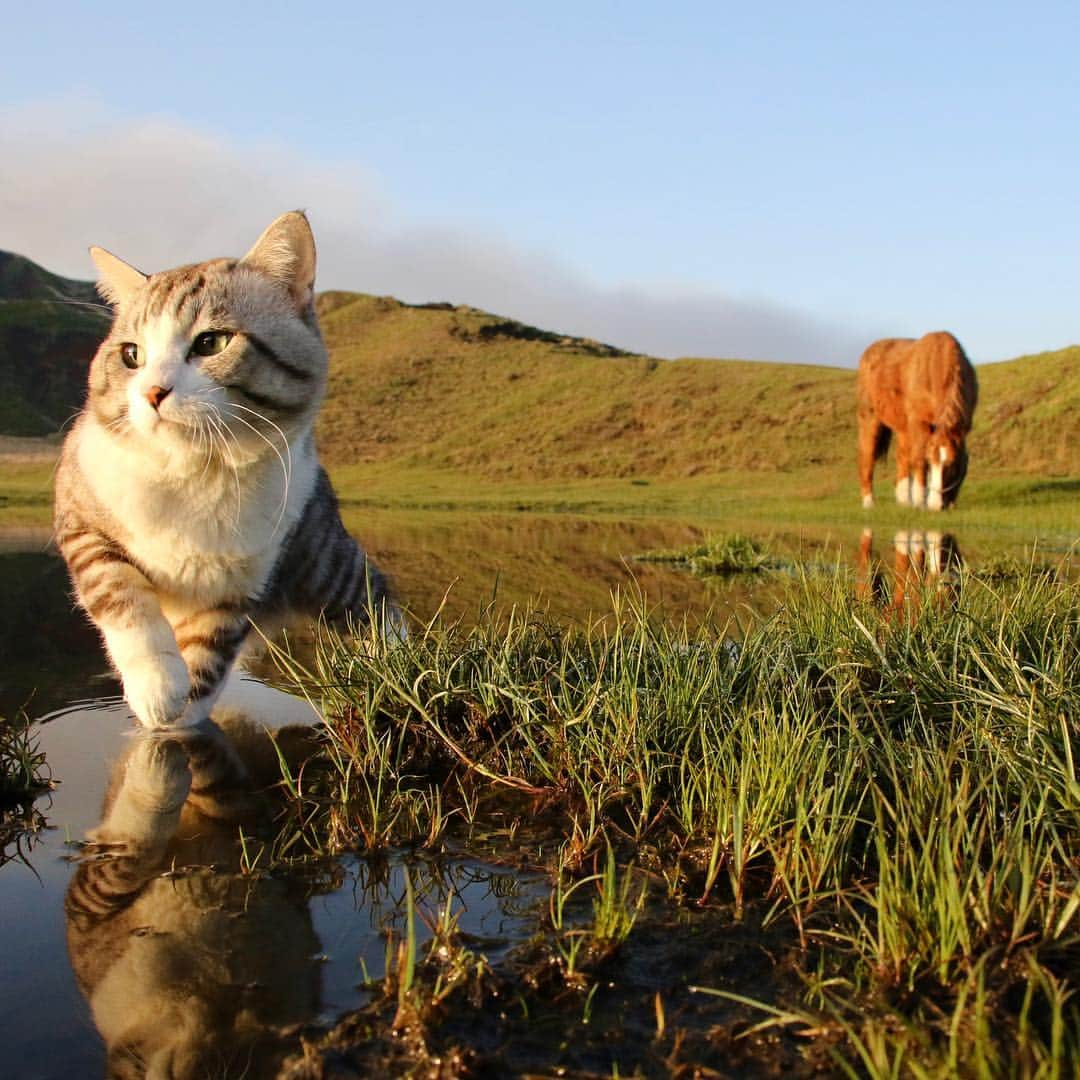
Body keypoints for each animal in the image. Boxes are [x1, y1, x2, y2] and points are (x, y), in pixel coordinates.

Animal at [54, 211, 401, 730]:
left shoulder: (234, 588)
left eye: (211, 342)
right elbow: (122, 593)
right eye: (131, 354)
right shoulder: (79, 517)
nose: (152, 392)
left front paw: (180, 713)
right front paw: (158, 687)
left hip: (324, 565)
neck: (194, 477)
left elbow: (206, 656)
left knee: (376, 597)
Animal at [859, 330, 980, 511]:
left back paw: (904, 500)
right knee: (867, 456)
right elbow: (918, 459)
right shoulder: (919, 423)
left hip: (903, 427)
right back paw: (868, 502)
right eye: (930, 462)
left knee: (902, 457)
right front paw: (920, 501)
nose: (937, 505)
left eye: (951, 464)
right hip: (869, 417)